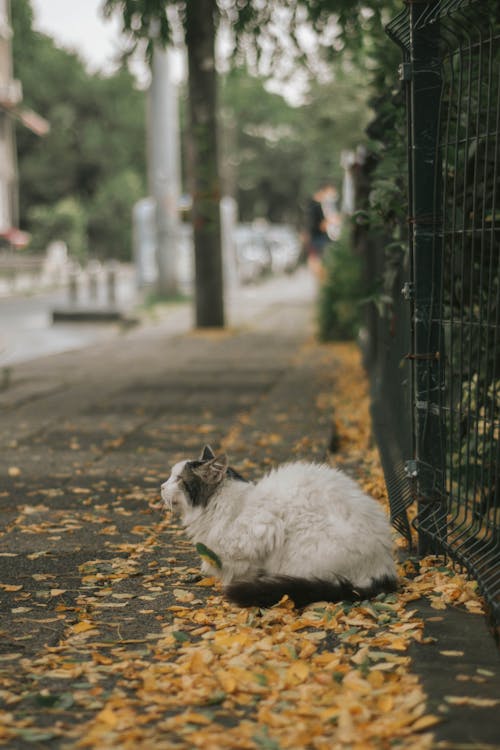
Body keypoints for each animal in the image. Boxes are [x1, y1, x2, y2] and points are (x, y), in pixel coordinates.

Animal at [161, 446, 398, 612]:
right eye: (171, 476)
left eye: (179, 479)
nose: (162, 486)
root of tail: (385, 569)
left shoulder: (265, 528)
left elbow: (244, 568)